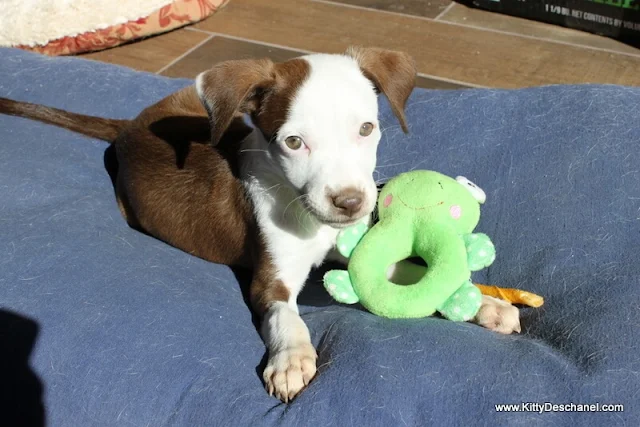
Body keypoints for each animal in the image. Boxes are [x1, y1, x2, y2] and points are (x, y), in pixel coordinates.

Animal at [0, 47, 520, 404]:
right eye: (293, 142)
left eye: (366, 129)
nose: (352, 203)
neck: (305, 212)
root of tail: (128, 127)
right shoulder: (271, 279)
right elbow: (285, 317)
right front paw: (291, 360)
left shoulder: (350, 246)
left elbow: (409, 275)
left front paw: (487, 305)